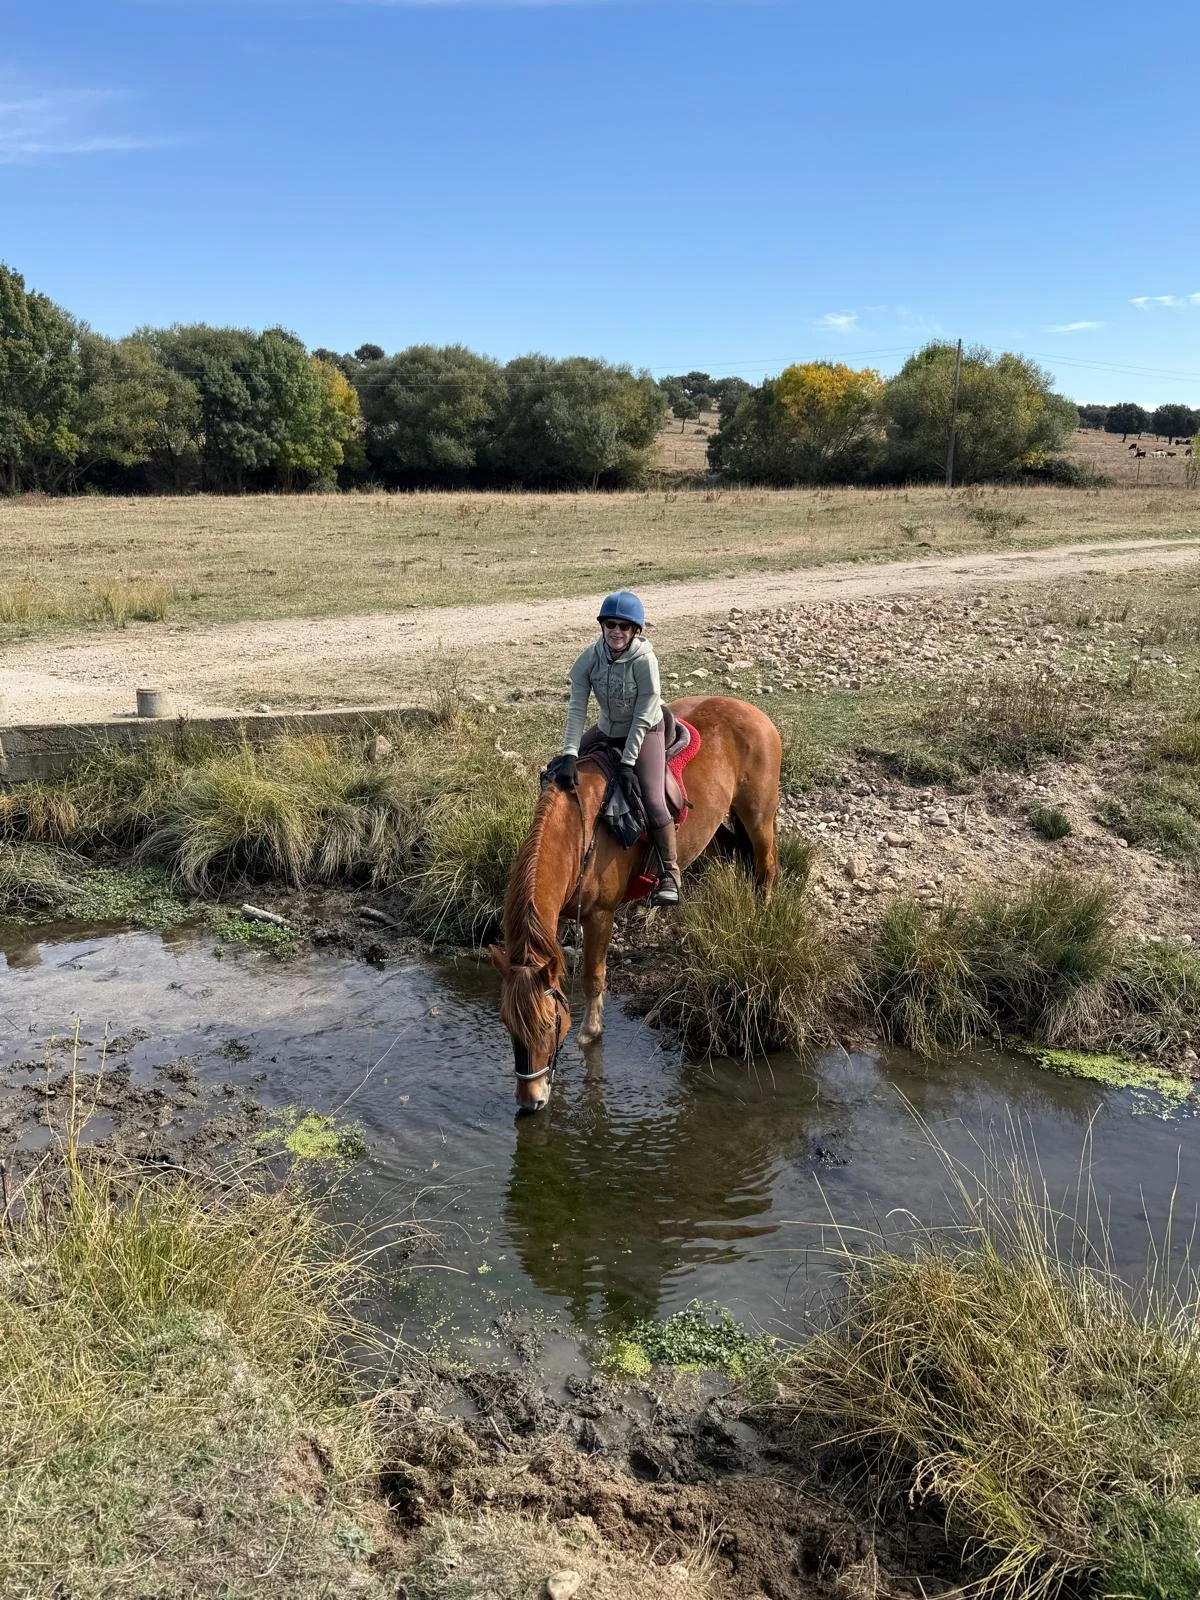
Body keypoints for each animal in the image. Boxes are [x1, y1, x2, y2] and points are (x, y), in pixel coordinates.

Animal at [490, 695, 782, 1111]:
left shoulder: (600, 914)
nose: (531, 1100)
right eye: (506, 1023)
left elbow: (593, 976)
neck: (580, 833)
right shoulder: (558, 919)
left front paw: (590, 1032)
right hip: (715, 829)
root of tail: (753, 712)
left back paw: (762, 917)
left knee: (766, 867)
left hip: (758, 815)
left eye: (549, 1024)